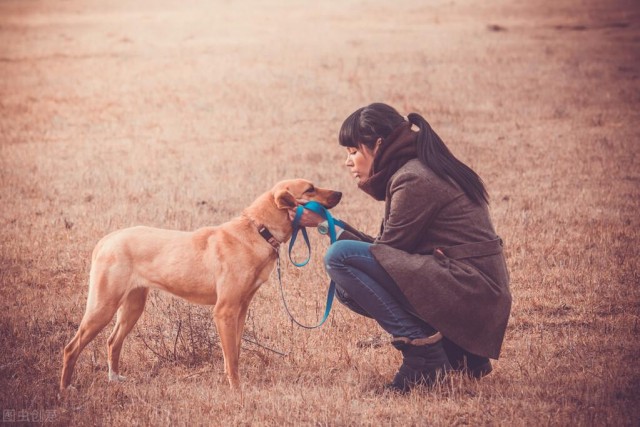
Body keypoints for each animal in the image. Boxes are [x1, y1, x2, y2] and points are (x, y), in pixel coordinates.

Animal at [58, 179, 344, 392]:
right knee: (71, 348)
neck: (258, 230)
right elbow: (231, 359)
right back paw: (65, 389)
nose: (340, 192)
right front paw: (236, 390)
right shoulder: (224, 311)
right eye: (310, 189)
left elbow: (234, 353)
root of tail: (107, 239)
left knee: (112, 342)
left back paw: (114, 379)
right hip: (103, 307)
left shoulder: (240, 311)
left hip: (132, 307)